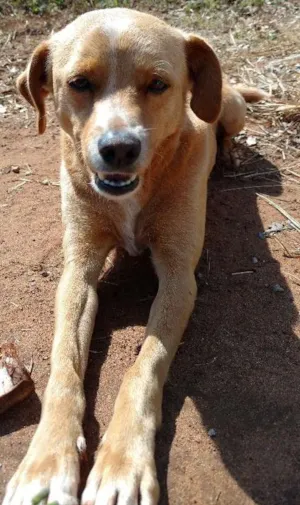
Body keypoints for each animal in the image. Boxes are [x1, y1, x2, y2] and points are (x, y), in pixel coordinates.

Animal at [2, 7, 264, 504]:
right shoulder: (78, 273)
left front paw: (122, 464)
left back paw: (230, 156)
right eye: (79, 82)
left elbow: (144, 366)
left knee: (229, 129)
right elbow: (64, 364)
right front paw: (46, 462)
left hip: (233, 110)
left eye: (158, 84)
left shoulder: (179, 278)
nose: (119, 148)